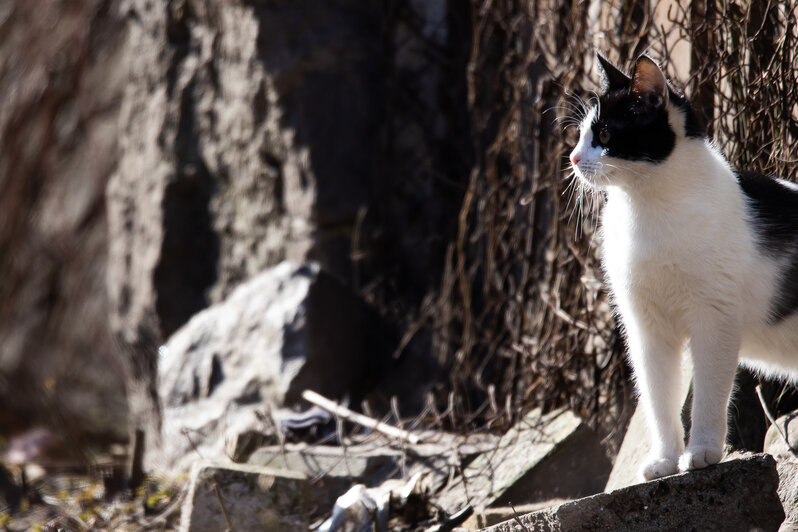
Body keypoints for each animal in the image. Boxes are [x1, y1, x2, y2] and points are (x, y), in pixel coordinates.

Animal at [568, 54, 798, 482]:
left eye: (604, 134)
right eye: (580, 135)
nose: (573, 158)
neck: (646, 206)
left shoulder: (713, 320)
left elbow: (708, 392)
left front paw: (702, 452)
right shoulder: (647, 328)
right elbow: (658, 397)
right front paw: (664, 459)